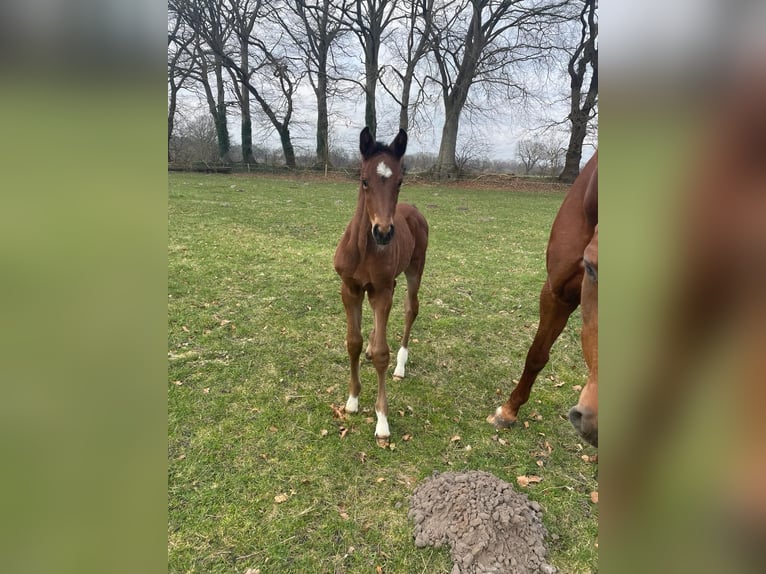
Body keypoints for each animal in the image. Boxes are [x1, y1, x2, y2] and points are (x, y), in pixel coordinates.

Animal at [336, 127, 432, 450]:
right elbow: (352, 342)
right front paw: (353, 400)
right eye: (364, 180)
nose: (383, 232)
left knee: (410, 309)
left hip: (414, 270)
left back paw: (401, 366)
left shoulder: (381, 291)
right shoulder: (350, 288)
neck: (365, 249)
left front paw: (381, 421)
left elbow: (382, 354)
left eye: (399, 181)